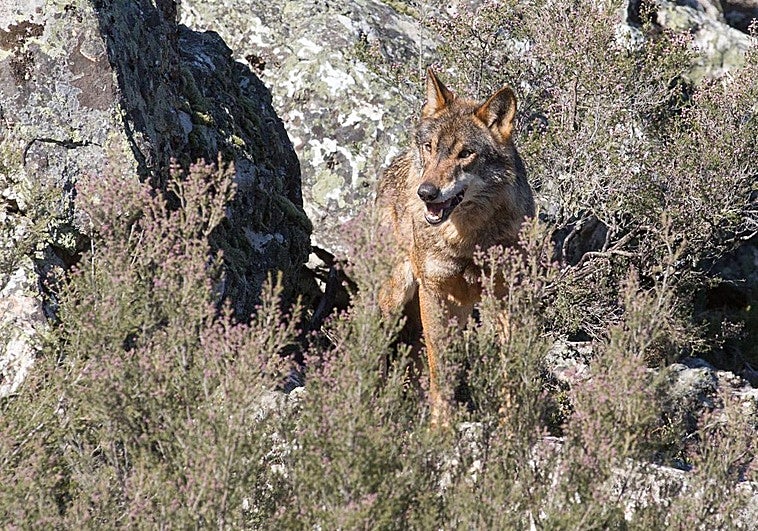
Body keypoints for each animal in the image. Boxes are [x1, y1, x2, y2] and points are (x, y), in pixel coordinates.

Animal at [376, 68, 535, 425]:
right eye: (430, 147)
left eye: (465, 153)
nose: (426, 193)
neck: (469, 240)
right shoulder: (436, 293)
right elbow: (441, 366)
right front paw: (442, 426)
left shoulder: (506, 295)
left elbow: (509, 365)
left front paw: (511, 424)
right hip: (394, 298)